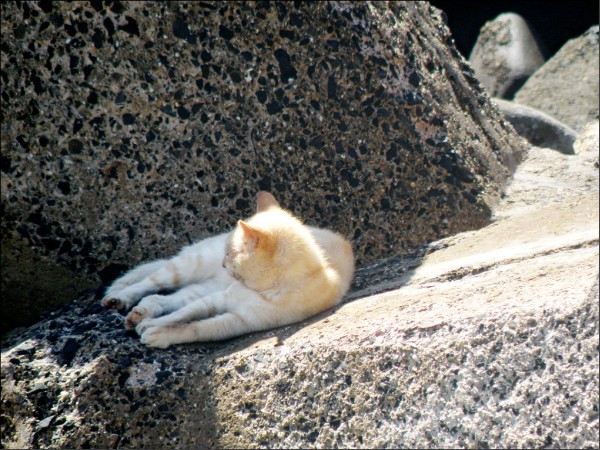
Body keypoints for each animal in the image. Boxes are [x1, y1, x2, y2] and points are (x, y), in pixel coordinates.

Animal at [102, 192, 356, 350]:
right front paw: (155, 325)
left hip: (203, 286)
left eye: (231, 253)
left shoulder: (239, 321)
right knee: (149, 282)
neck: (261, 289)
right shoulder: (218, 299)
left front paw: (158, 332)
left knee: (160, 299)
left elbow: (195, 327)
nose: (223, 264)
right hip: (188, 267)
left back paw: (140, 314)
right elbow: (183, 315)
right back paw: (119, 299)